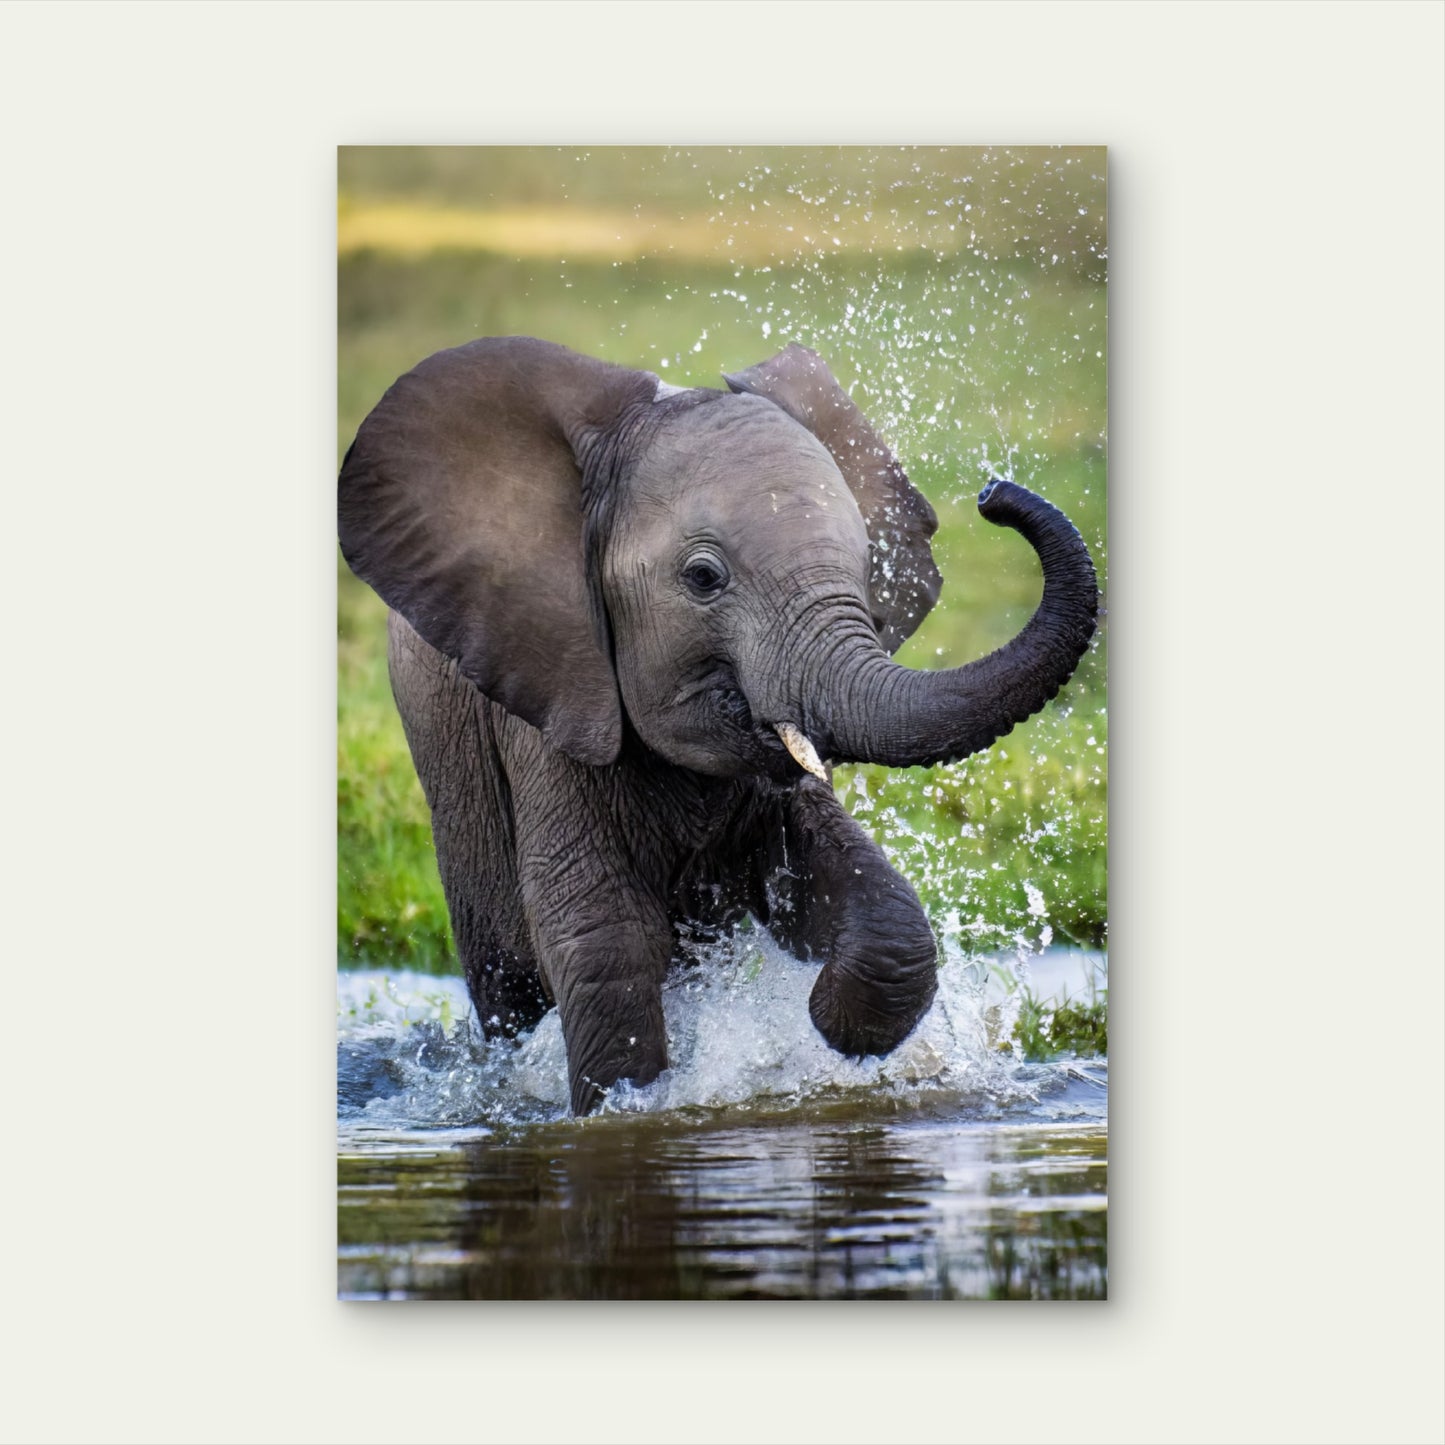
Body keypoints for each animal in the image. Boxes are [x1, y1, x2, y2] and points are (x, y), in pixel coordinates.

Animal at [338, 337, 1098, 1115]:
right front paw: (624, 1109)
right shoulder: (551, 693)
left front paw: (830, 1028)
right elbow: (606, 937)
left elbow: (853, 890)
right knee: (507, 985)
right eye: (704, 578)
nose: (993, 495)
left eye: (867, 566)